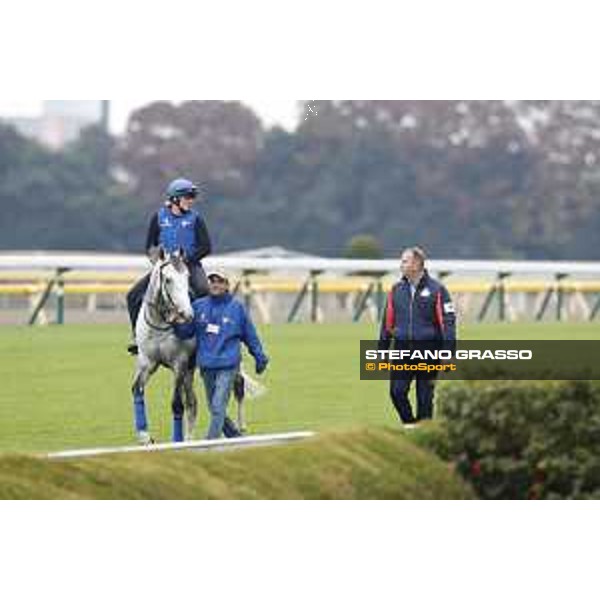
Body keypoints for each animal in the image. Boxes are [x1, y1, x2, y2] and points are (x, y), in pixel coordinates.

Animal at [130, 246, 198, 442]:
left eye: (187, 276)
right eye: (167, 279)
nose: (187, 314)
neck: (160, 324)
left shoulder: (179, 364)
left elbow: (176, 404)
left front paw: (176, 440)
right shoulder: (147, 363)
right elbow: (137, 390)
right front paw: (145, 437)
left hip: (189, 369)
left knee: (191, 403)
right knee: (192, 402)